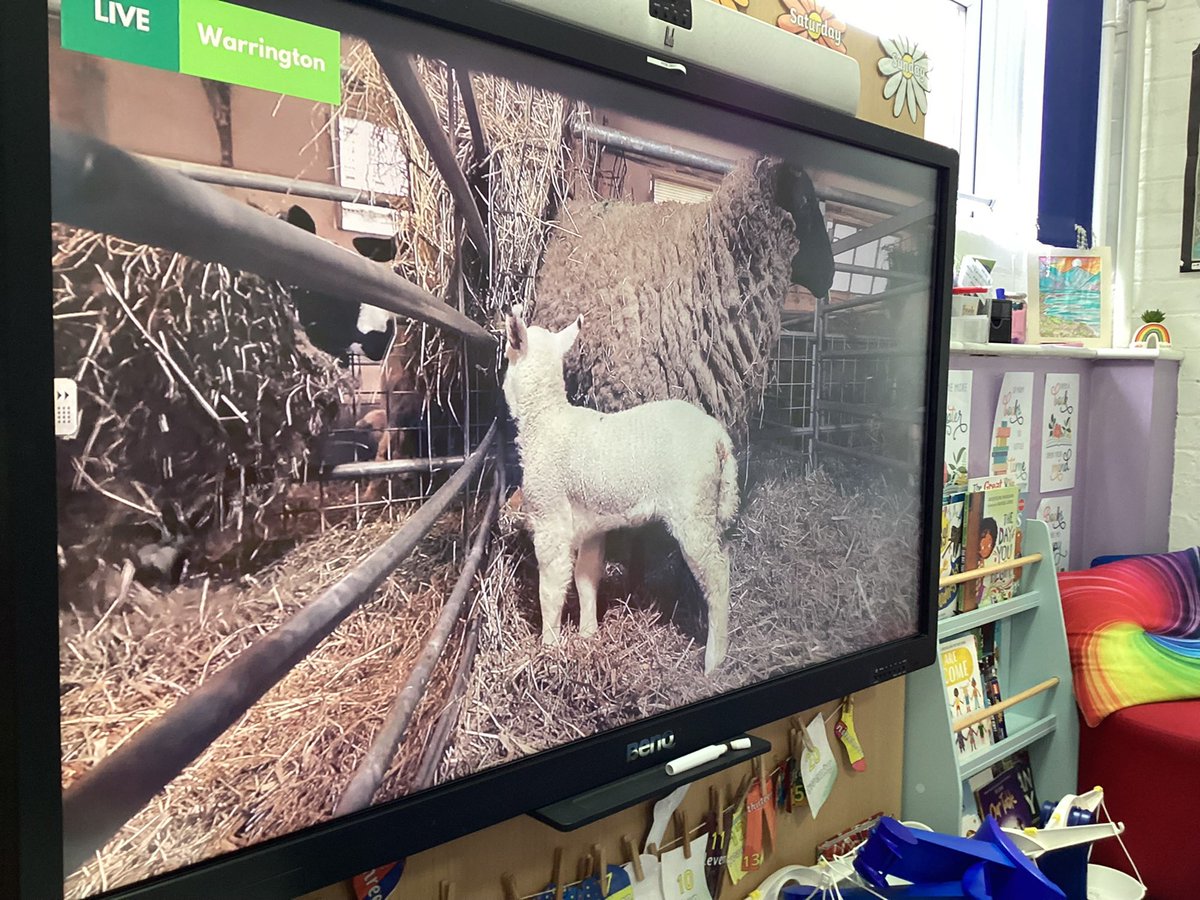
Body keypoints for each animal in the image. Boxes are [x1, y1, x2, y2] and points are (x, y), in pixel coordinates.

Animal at [499, 314, 739, 672]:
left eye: (507, 356)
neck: (546, 421)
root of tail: (719, 439)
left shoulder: (550, 519)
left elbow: (551, 589)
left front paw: (549, 647)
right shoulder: (591, 526)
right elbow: (586, 579)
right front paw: (587, 634)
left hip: (692, 508)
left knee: (717, 575)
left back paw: (714, 660)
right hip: (710, 505)